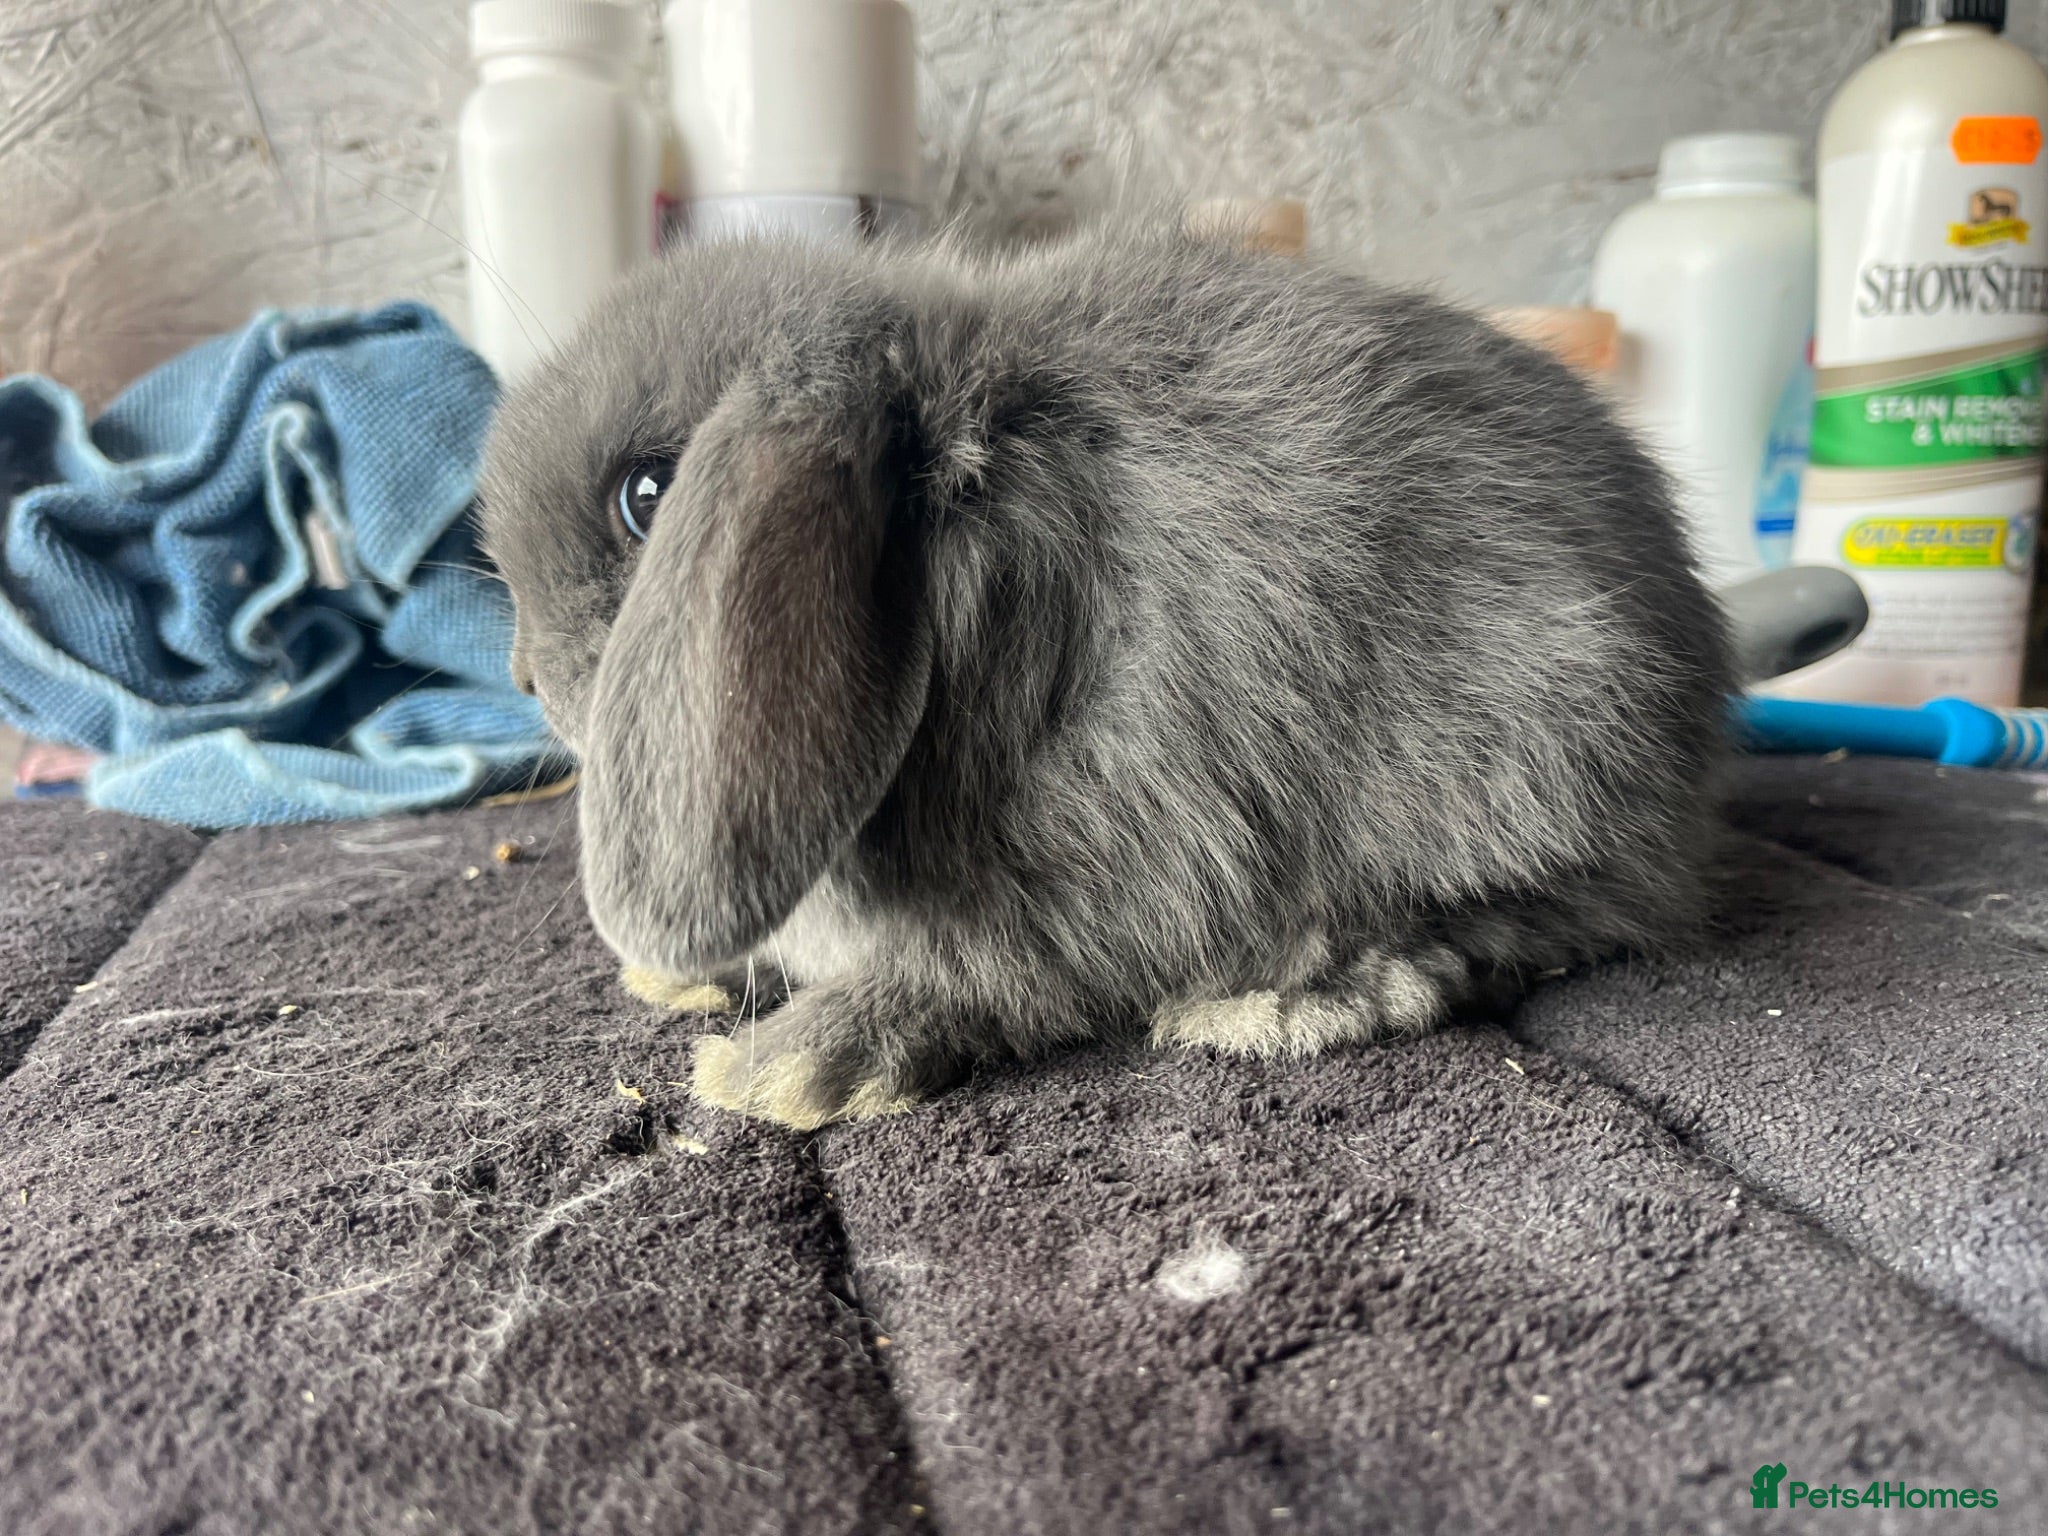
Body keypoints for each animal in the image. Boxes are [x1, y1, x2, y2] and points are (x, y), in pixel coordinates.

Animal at [477, 225, 1733, 1131]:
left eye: (649, 497)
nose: (524, 673)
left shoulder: (1098, 861)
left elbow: (984, 981)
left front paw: (788, 1070)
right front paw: (683, 986)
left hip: (1530, 748)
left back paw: (1285, 998)